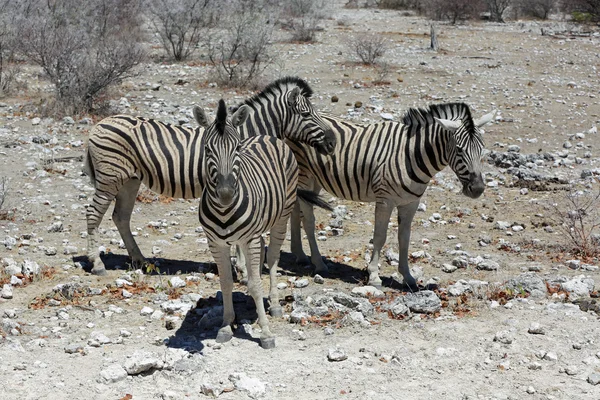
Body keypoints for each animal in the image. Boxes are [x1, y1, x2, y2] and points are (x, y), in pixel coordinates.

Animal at [82, 76, 336, 276]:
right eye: (306, 114)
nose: (332, 142)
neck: (246, 133)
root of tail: (99, 124)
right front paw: (243, 269)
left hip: (130, 180)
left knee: (120, 217)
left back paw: (140, 260)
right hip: (110, 178)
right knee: (93, 214)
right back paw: (97, 264)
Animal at [195, 101, 330, 350]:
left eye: (237, 148)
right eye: (208, 150)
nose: (226, 194)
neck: (225, 211)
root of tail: (267, 136)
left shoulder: (249, 238)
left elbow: (257, 285)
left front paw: (266, 332)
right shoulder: (215, 242)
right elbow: (226, 282)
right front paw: (226, 326)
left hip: (282, 216)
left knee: (273, 257)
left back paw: (274, 305)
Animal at [288, 101, 494, 288]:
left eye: (482, 148)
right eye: (459, 149)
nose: (478, 189)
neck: (410, 154)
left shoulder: (411, 203)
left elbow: (404, 238)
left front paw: (408, 277)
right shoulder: (385, 200)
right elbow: (380, 236)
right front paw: (373, 275)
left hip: (313, 181)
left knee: (295, 210)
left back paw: (300, 255)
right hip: (305, 176)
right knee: (308, 220)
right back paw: (318, 263)